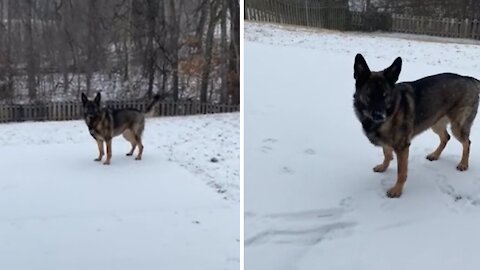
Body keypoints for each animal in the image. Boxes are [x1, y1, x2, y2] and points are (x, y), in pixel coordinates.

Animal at [352, 53, 480, 197]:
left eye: (385, 95)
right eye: (369, 95)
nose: (380, 116)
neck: (392, 110)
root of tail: (470, 79)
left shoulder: (402, 148)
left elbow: (401, 172)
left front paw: (397, 190)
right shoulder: (387, 142)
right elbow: (386, 153)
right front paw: (384, 167)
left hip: (457, 126)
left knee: (467, 142)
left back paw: (463, 164)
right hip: (435, 122)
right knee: (446, 137)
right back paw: (435, 155)